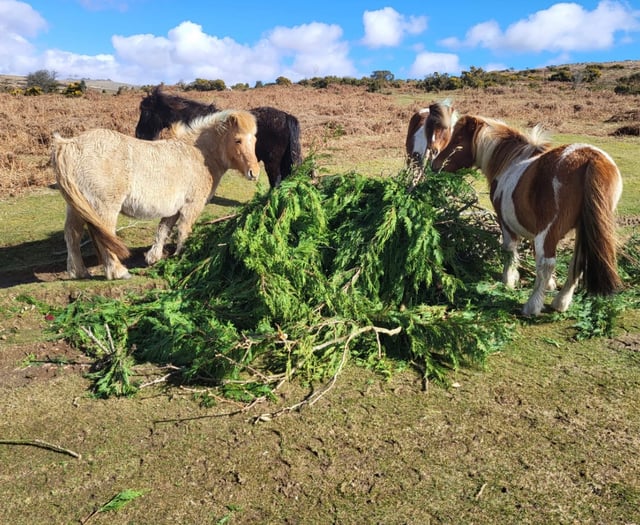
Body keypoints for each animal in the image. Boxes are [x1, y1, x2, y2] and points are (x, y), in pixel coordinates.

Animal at [432, 115, 624, 316]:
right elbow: (534, 254)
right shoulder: (535, 228)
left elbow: (510, 250)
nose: (435, 165)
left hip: (550, 230)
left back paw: (532, 306)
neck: (510, 162)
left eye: (458, 139)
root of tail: (590, 158)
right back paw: (560, 302)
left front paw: (509, 280)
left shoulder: (505, 222)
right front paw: (550, 284)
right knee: (576, 263)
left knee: (548, 263)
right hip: (581, 230)